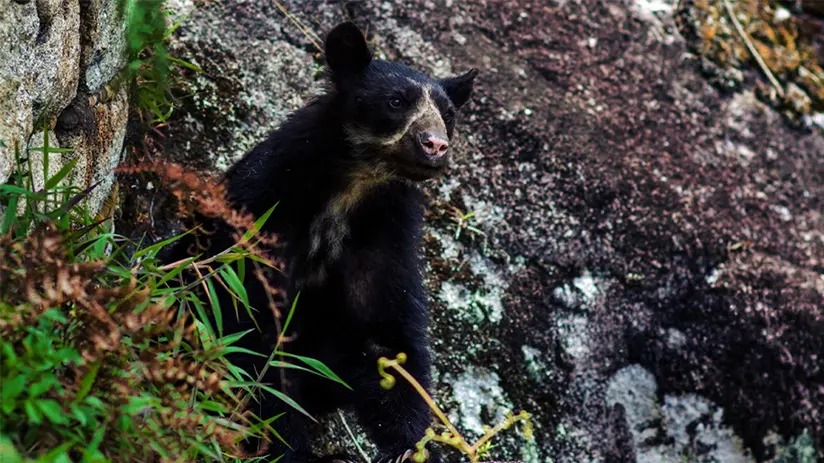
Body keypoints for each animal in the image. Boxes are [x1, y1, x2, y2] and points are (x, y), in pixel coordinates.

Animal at [166, 22, 477, 463]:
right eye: (396, 101)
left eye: (449, 116)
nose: (435, 145)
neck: (351, 188)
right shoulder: (267, 207)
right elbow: (252, 330)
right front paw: (290, 448)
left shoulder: (384, 233)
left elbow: (388, 337)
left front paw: (407, 447)